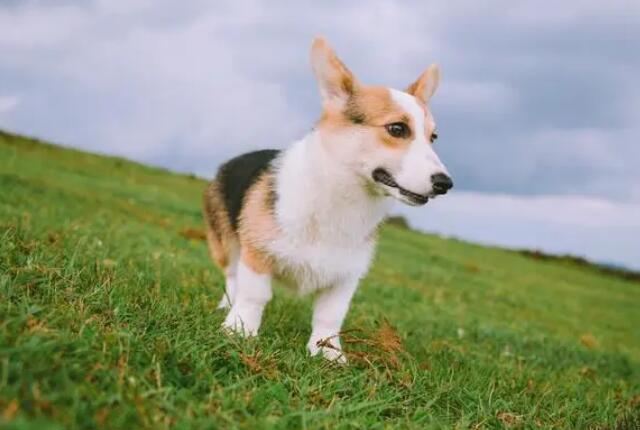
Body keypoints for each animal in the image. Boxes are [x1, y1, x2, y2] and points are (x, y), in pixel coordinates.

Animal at [204, 37, 450, 362]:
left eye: (433, 137)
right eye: (397, 128)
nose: (445, 184)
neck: (342, 198)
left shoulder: (346, 276)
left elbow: (330, 316)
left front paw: (327, 353)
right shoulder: (257, 254)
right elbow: (254, 295)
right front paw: (239, 331)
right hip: (225, 243)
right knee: (232, 276)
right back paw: (226, 305)